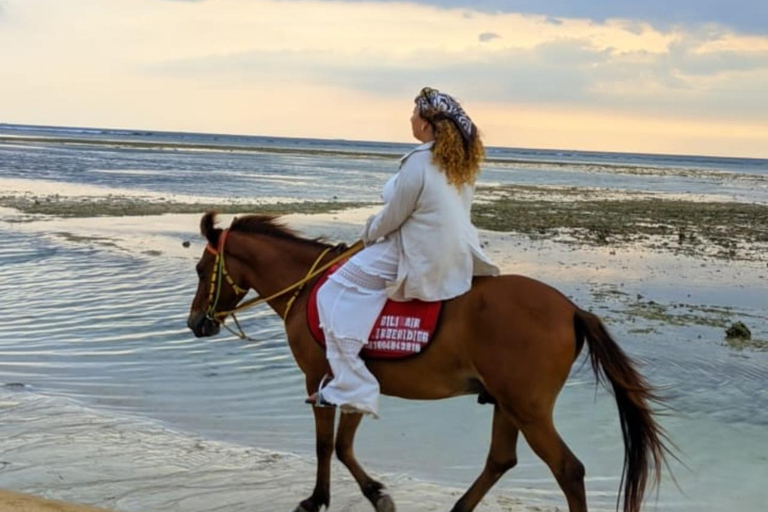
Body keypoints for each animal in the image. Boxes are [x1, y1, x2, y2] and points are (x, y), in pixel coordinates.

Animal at [188, 212, 672, 512]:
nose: (196, 323)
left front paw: (318, 499)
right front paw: (375, 493)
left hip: (529, 409)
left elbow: (327, 445)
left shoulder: (320, 377)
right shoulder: (353, 383)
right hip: (508, 405)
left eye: (199, 270)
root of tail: (570, 309)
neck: (309, 287)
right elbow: (343, 446)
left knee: (568, 470)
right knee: (500, 461)